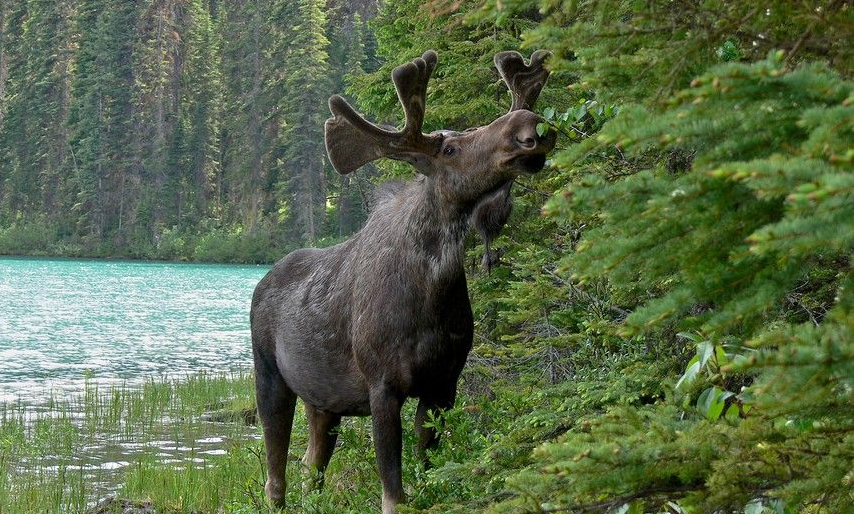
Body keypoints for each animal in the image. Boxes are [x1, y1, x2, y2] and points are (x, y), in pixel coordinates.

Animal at [250, 49, 555, 514]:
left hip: (323, 401)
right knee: (275, 474)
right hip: (268, 374)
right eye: (450, 147)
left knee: (311, 468)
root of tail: (260, 282)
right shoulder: (383, 384)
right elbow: (393, 489)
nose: (528, 127)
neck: (431, 295)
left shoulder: (443, 383)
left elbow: (428, 469)